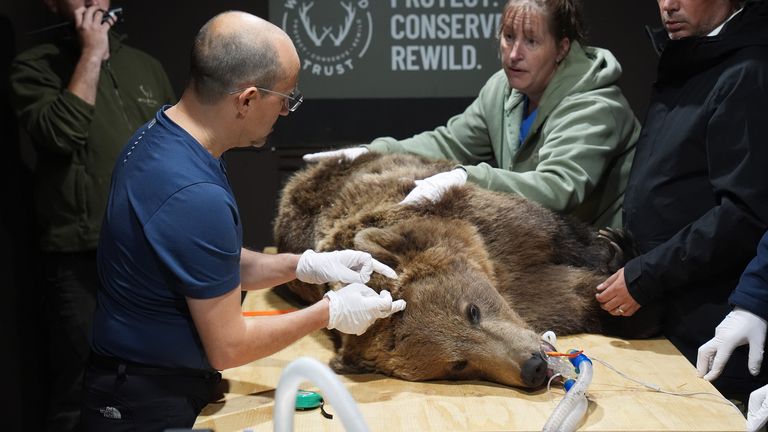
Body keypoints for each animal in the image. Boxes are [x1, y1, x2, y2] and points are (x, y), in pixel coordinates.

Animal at [272, 154, 644, 390]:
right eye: (458, 364)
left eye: (472, 311)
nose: (534, 366)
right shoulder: (536, 297)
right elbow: (576, 297)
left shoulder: (495, 229)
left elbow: (560, 239)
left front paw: (614, 254)